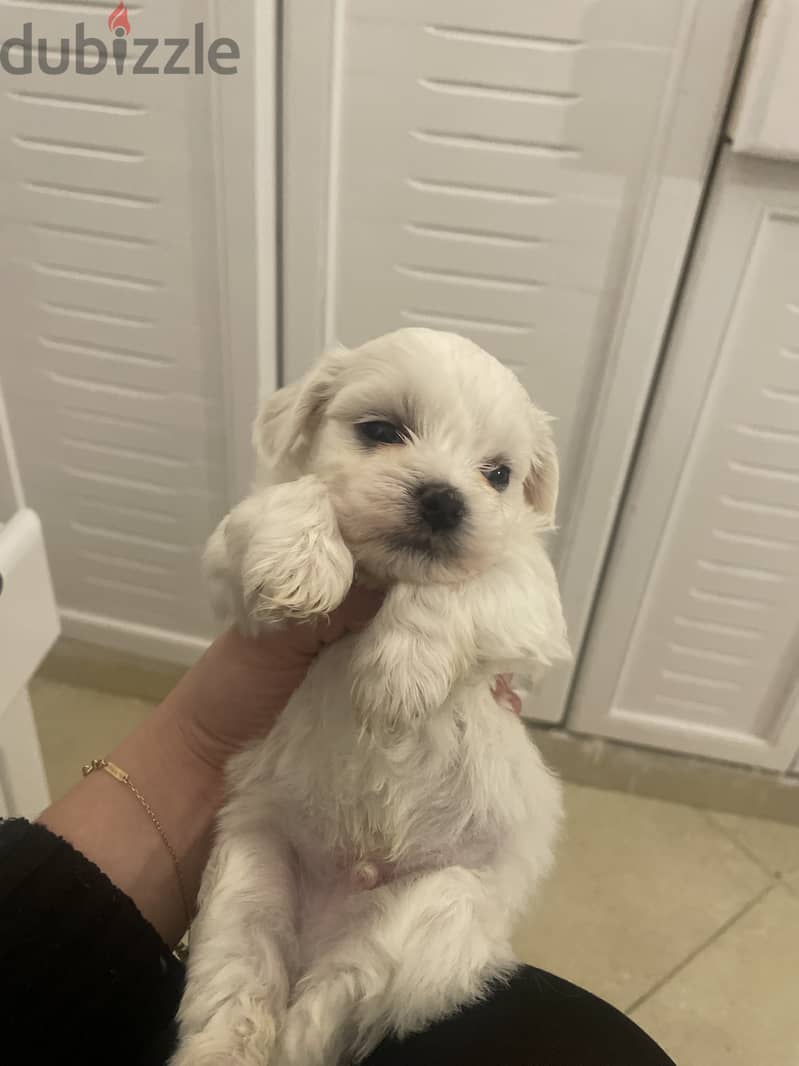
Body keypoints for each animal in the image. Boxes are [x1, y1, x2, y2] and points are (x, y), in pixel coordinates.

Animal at [174, 326, 571, 1066]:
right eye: (381, 430)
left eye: (497, 475)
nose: (445, 499)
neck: (381, 577)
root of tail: (331, 915)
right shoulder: (230, 567)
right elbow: (292, 499)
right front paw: (303, 561)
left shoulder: (532, 607)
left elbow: (476, 578)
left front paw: (399, 673)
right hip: (247, 872)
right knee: (240, 985)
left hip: (433, 917)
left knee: (325, 1011)